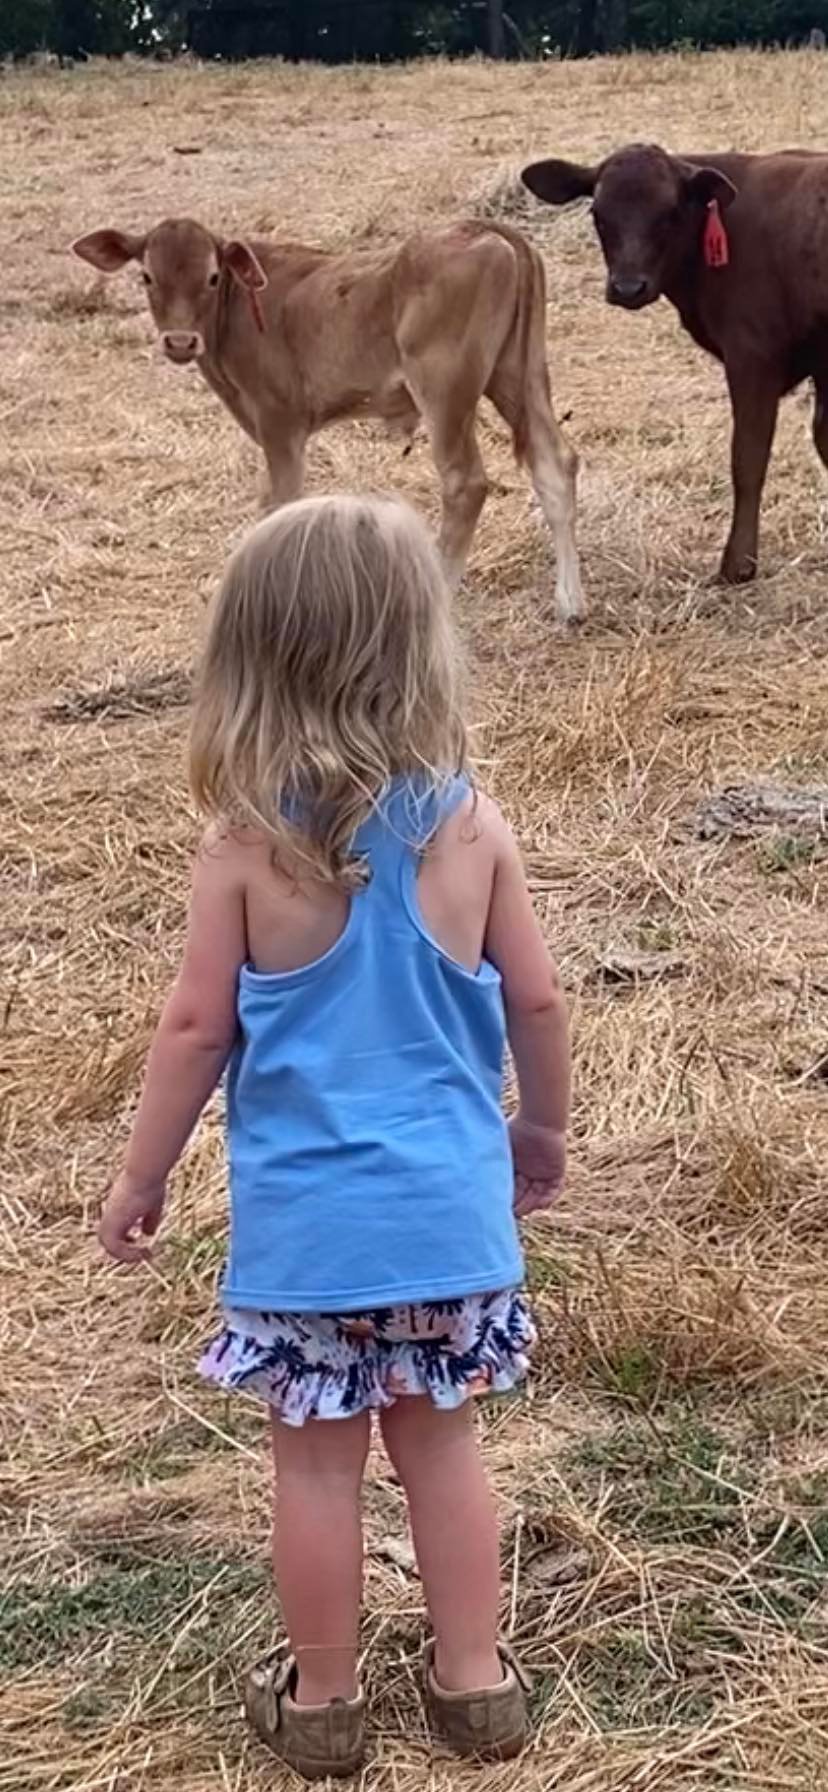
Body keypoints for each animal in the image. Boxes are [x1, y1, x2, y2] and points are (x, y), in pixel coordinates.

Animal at [74, 218, 584, 623]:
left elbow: (280, 503)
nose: (180, 342)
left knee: (466, 483)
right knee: (555, 463)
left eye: (213, 276)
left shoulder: (280, 424)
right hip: (519, 374)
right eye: (147, 276)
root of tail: (483, 228)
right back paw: (570, 602)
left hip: (445, 389)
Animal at [523, 146, 828, 584]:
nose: (628, 287)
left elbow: (748, 457)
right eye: (598, 212)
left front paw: (738, 564)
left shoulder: (752, 356)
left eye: (669, 212)